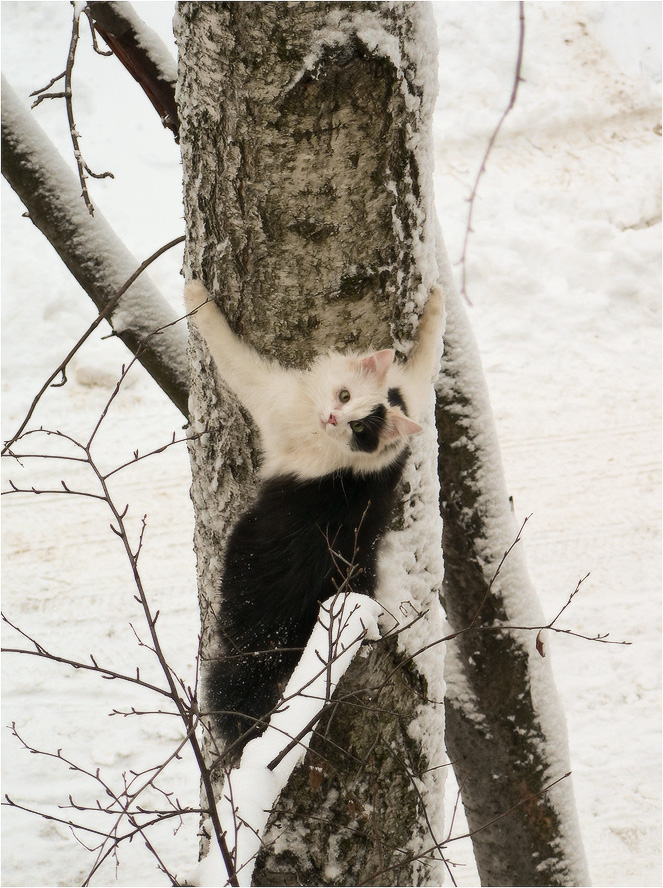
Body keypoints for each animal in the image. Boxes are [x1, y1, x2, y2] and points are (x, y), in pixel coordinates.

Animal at [184, 280, 444, 748]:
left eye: (359, 428)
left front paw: (193, 293)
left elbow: (227, 346)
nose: (332, 417)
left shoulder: (270, 397)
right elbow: (428, 353)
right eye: (344, 395)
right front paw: (437, 298)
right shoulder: (413, 395)